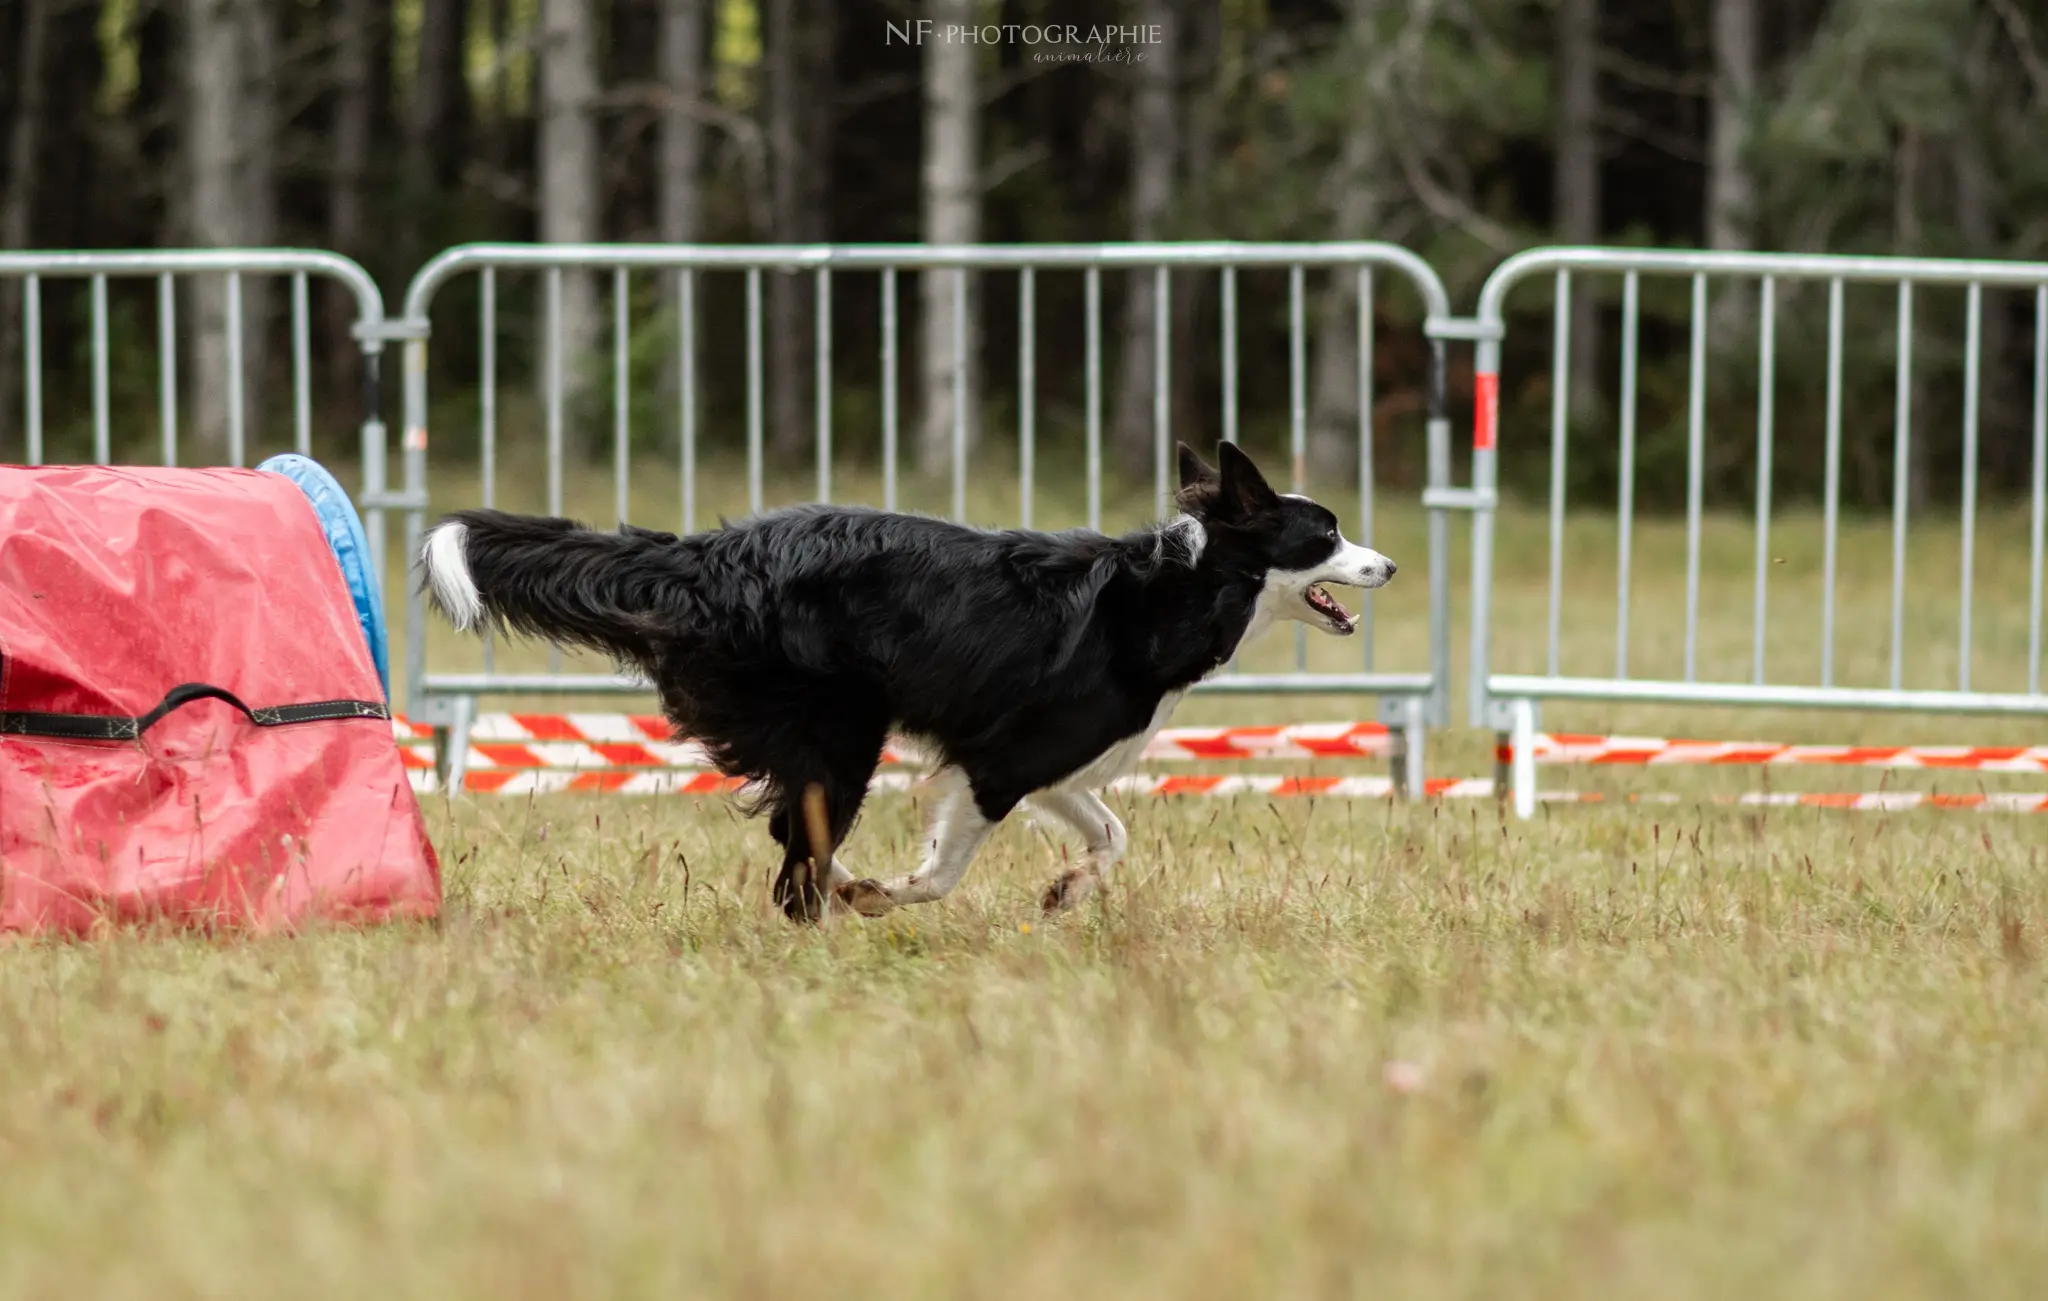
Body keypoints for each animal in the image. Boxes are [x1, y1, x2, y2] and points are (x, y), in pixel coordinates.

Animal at [423, 442, 1400, 921]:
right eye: (1326, 533)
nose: (1389, 564)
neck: (1185, 588)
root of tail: (706, 556)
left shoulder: (1046, 761)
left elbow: (1111, 831)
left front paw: (1067, 890)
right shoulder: (1000, 762)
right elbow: (945, 870)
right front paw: (887, 897)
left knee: (794, 839)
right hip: (843, 730)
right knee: (795, 869)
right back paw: (828, 908)